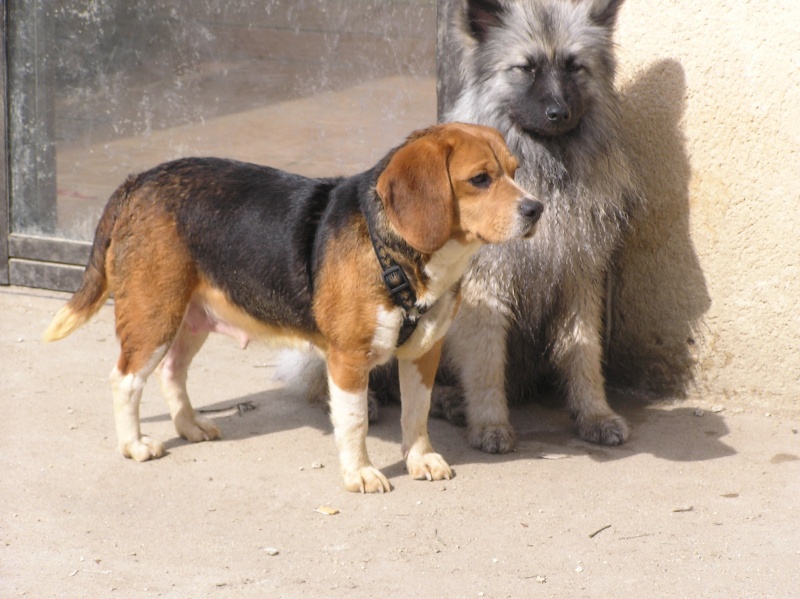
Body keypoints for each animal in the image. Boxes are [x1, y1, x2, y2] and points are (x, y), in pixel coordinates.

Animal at [45, 122, 544, 492]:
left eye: (514, 170)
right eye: (480, 179)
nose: (537, 209)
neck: (399, 257)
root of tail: (139, 180)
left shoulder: (423, 353)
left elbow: (415, 413)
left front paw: (420, 460)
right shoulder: (348, 360)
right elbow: (355, 421)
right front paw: (360, 473)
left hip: (191, 319)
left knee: (172, 371)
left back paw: (190, 426)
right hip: (154, 317)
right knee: (125, 380)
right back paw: (134, 445)